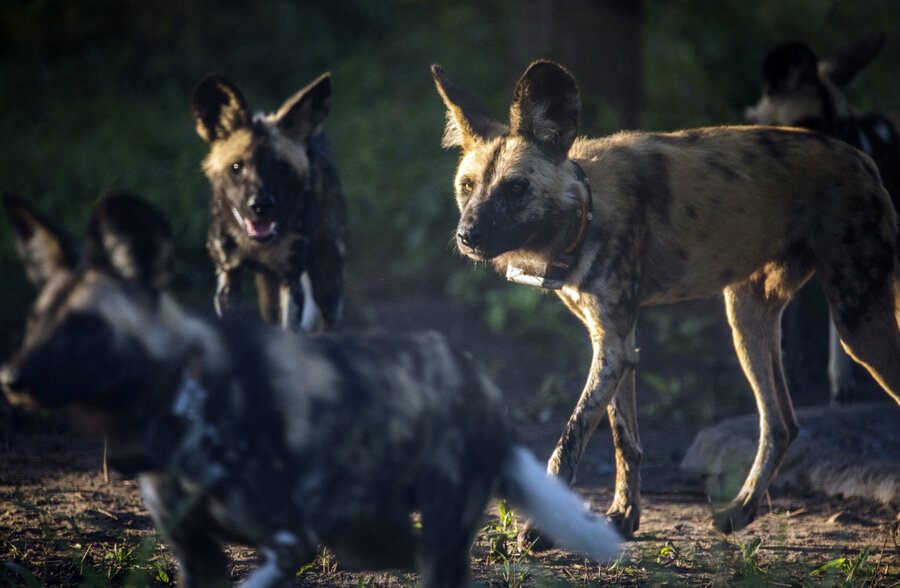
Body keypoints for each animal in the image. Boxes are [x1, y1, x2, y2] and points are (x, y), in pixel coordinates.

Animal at [0, 192, 620, 588]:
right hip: (377, 528)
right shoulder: (197, 556)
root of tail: (475, 378)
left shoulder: (289, 542)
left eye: (87, 326)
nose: (13, 379)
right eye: (33, 321)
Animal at [190, 72, 348, 330]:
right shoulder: (229, 276)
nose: (260, 207)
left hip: (327, 281)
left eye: (281, 167)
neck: (258, 245)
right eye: (236, 167)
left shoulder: (290, 278)